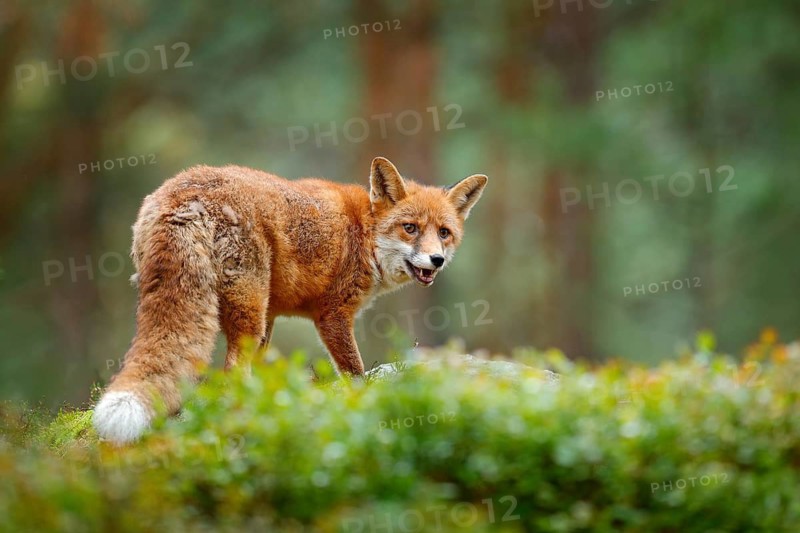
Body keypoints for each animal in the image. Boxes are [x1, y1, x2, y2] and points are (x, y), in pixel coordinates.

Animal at [92, 157, 487, 444]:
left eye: (444, 233)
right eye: (410, 228)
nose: (436, 260)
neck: (364, 234)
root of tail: (182, 195)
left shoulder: (273, 316)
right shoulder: (333, 314)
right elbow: (355, 373)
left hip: (247, 309)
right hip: (248, 308)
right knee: (233, 370)